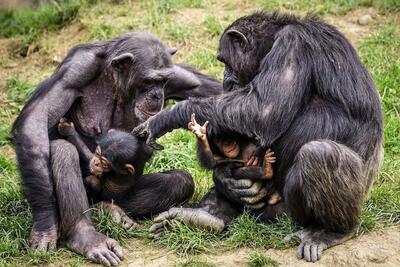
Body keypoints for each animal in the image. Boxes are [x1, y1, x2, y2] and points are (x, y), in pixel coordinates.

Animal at [11, 31, 222, 266]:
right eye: (149, 81)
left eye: (163, 81)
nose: (157, 95)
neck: (116, 80)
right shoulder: (76, 69)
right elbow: (37, 119)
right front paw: (45, 224)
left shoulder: (177, 75)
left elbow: (216, 92)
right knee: (62, 151)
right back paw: (87, 237)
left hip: (118, 194)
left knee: (180, 180)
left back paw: (112, 211)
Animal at [134, 13, 384, 264]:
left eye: (225, 61)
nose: (225, 77)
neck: (271, 43)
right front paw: (226, 180)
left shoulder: (293, 45)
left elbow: (262, 110)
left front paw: (166, 116)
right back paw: (203, 216)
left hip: (288, 213)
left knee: (319, 154)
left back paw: (329, 232)